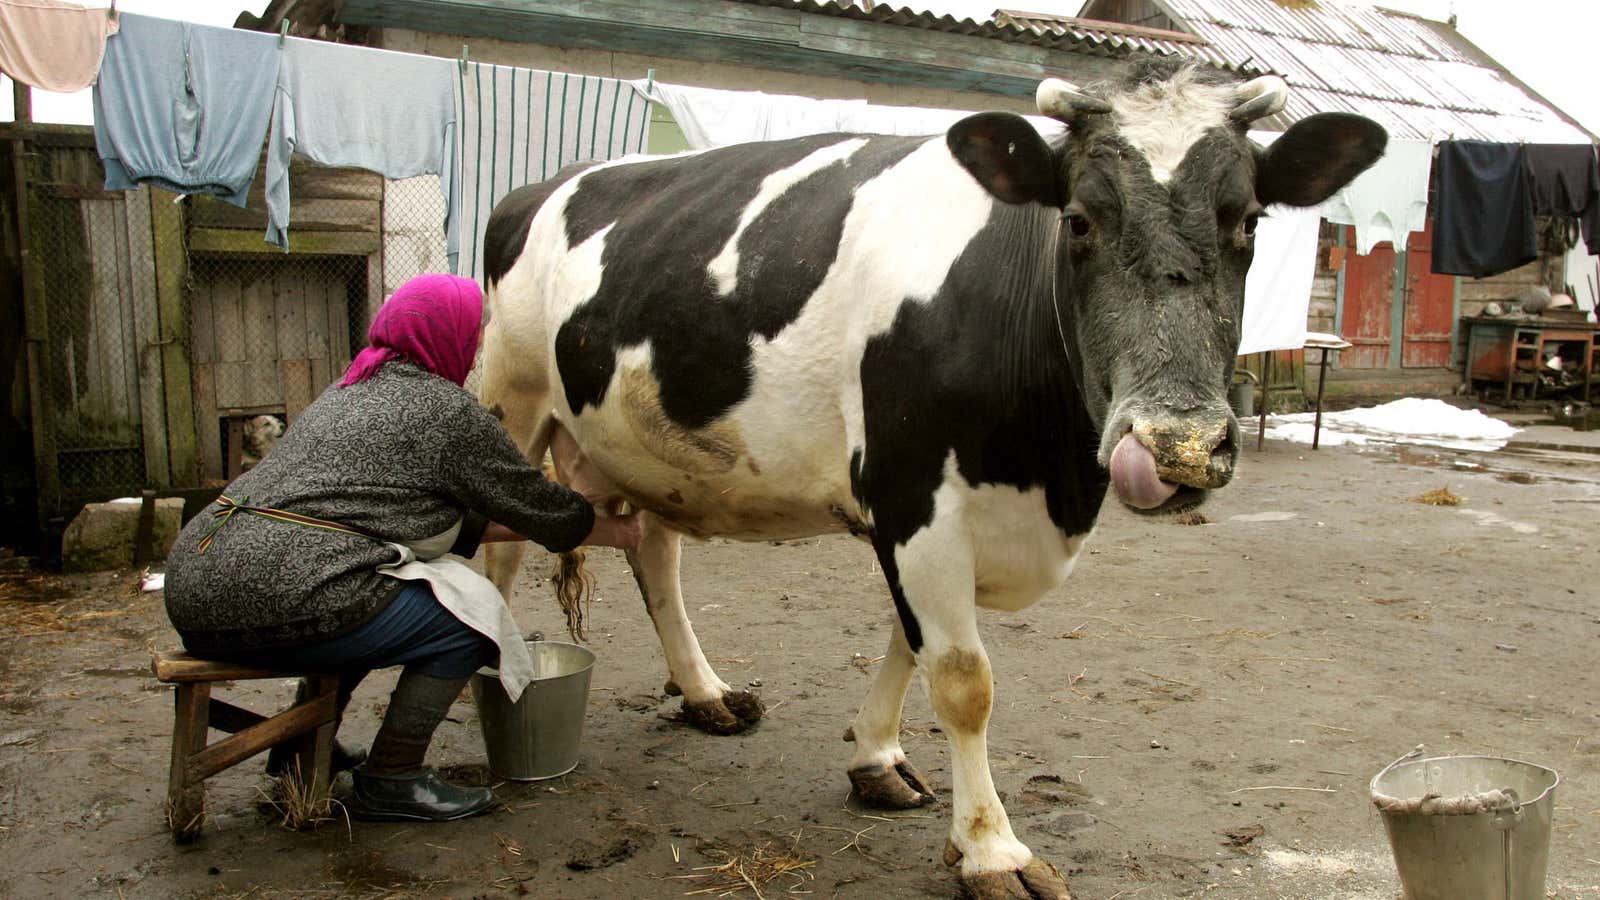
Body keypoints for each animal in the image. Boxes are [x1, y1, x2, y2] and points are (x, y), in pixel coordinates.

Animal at [476, 63, 1388, 896]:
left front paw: (876, 760)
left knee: (656, 553)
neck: (1044, 477)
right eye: (1080, 219)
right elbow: (961, 678)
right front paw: (993, 850)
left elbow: (908, 640)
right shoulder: (914, 491)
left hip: (651, 443)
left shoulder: (931, 513)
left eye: (1250, 221)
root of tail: (543, 185)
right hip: (510, 400)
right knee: (499, 552)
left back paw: (706, 693)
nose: (1180, 444)